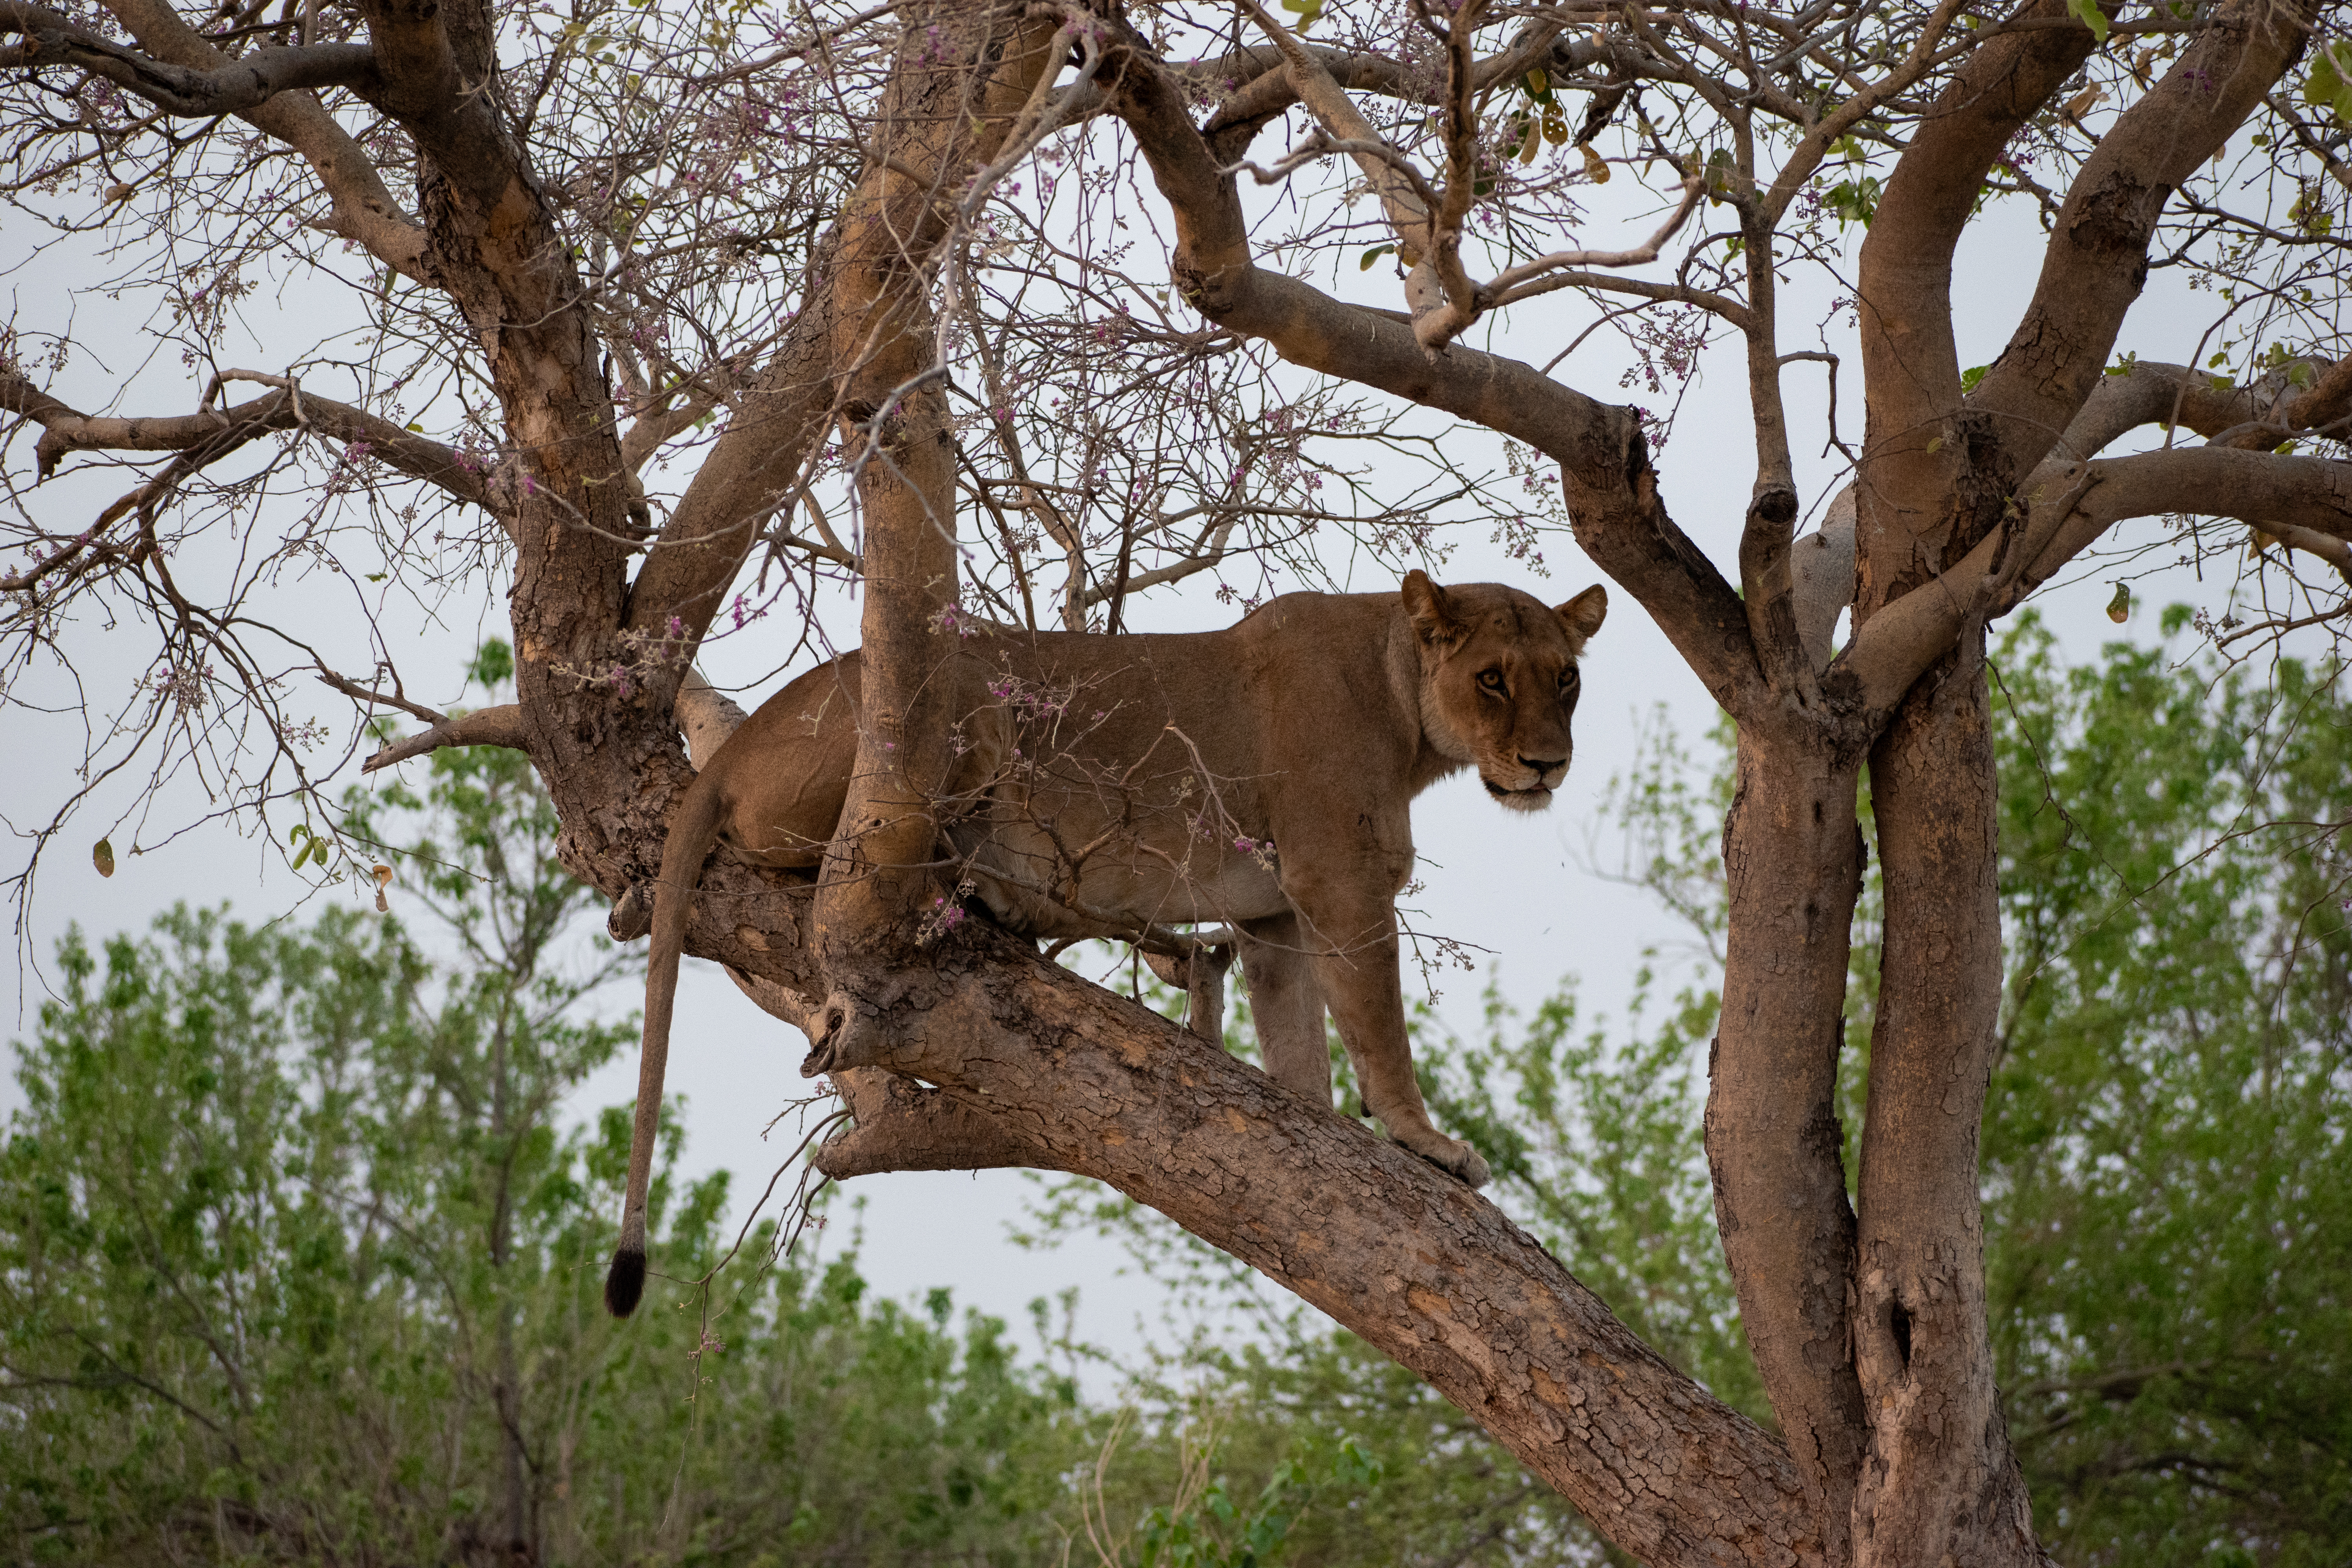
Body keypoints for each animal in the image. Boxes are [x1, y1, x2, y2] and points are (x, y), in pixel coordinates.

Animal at [605, 570, 1606, 1316]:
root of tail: (738, 750)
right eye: (1491, 678)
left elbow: (1298, 1041)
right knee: (822, 862)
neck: (1404, 706)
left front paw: (1315, 1136)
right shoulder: (1341, 884)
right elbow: (1379, 1027)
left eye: (1564, 676)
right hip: (964, 705)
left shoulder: (1276, 912)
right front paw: (1426, 1141)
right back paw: (990, 890)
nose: (1548, 763)